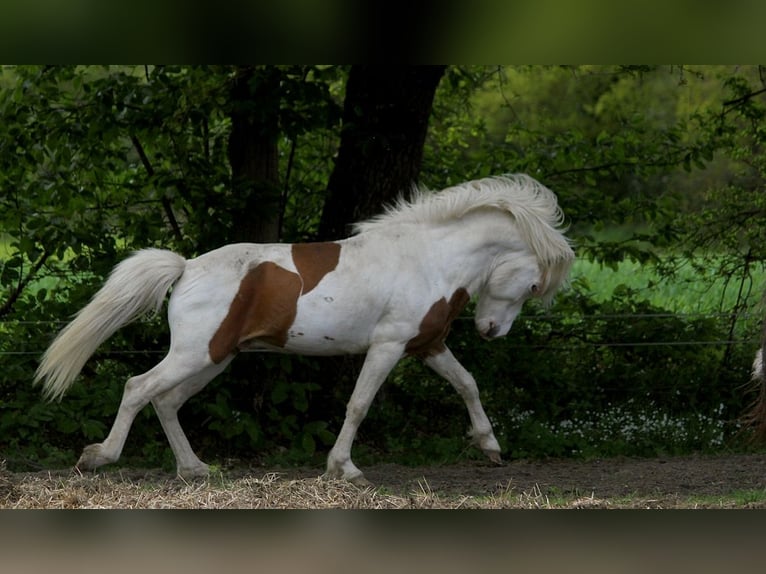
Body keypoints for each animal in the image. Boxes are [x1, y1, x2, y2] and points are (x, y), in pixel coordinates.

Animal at [36, 174, 576, 486]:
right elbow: (358, 405)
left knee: (165, 401)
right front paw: (344, 469)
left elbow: (467, 383)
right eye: (533, 284)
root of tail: (186, 268)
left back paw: (195, 469)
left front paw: (490, 447)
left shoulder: (426, 344)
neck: (429, 258)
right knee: (138, 387)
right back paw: (98, 458)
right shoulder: (389, 345)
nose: (491, 331)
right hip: (195, 354)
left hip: (216, 358)